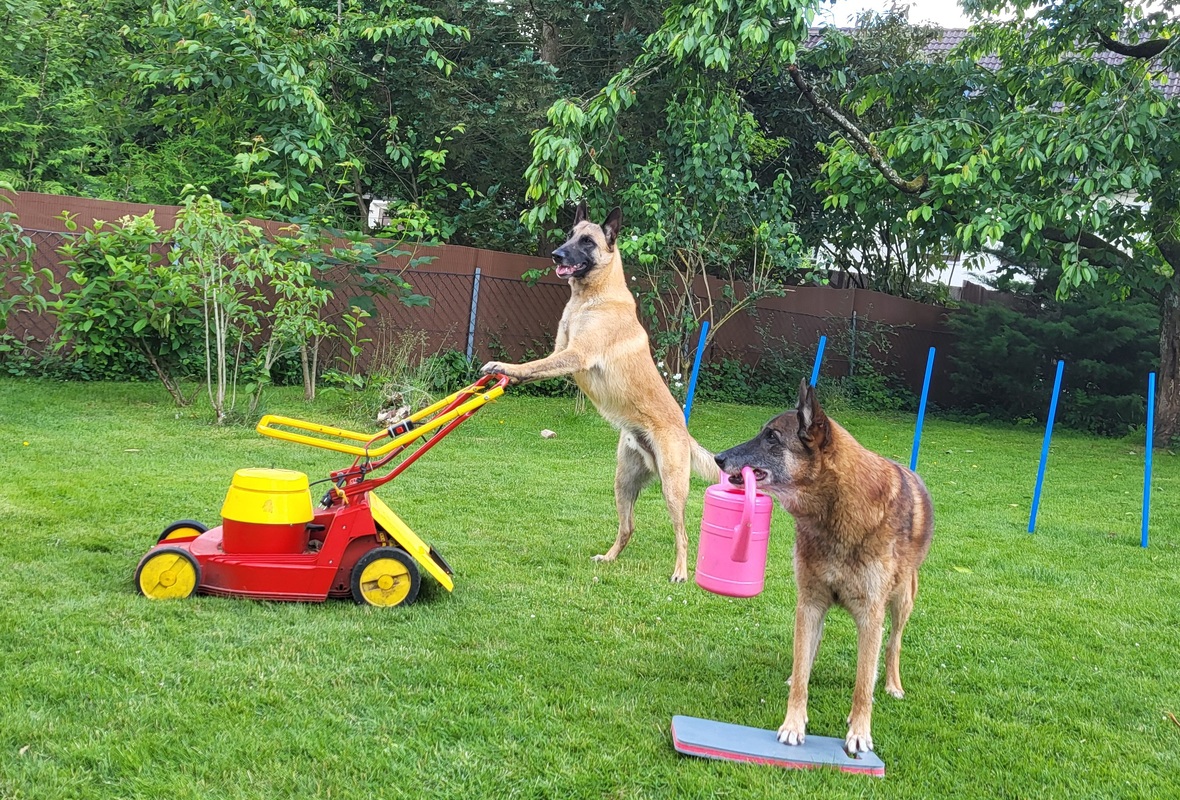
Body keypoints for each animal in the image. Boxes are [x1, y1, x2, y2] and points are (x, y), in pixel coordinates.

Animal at [479, 201, 717, 582]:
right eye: (568, 235)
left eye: (587, 242)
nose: (556, 254)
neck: (590, 297)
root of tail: (684, 431)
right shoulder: (561, 351)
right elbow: (536, 366)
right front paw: (505, 375)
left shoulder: (575, 355)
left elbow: (531, 365)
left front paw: (503, 367)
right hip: (623, 483)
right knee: (628, 527)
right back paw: (609, 557)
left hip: (672, 486)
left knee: (682, 532)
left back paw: (680, 572)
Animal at [712, 379, 934, 755]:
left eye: (772, 437)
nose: (718, 458)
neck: (835, 509)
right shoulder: (810, 603)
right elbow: (803, 670)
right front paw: (793, 723)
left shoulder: (871, 615)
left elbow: (863, 685)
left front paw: (859, 732)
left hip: (901, 601)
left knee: (893, 645)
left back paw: (892, 684)